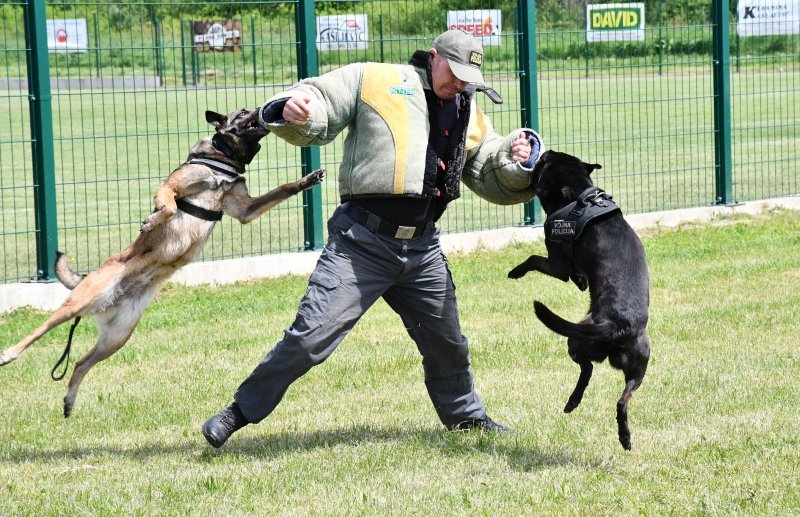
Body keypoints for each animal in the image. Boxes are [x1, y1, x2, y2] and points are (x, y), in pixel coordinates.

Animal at [1, 109, 324, 416]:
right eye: (243, 113)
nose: (261, 107)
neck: (222, 161)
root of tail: (110, 294)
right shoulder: (169, 187)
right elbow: (168, 206)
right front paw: (152, 220)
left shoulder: (244, 209)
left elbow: (283, 188)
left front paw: (306, 180)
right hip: (81, 301)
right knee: (42, 329)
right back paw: (9, 354)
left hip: (117, 337)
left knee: (81, 362)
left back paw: (69, 401)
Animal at [512, 149, 648, 448]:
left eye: (544, 162)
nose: (542, 152)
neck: (578, 195)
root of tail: (618, 325)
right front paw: (581, 281)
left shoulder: (556, 263)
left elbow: (534, 259)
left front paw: (516, 271)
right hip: (639, 364)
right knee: (623, 398)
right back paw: (623, 435)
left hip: (575, 339)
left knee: (587, 369)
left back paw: (573, 401)